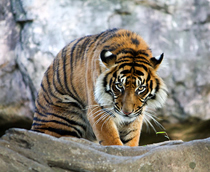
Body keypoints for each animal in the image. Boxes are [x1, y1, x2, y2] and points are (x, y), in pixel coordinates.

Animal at [30, 28, 167, 146]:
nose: (126, 112)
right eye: (119, 86)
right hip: (66, 114)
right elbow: (112, 141)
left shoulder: (136, 115)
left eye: (141, 88)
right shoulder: (99, 111)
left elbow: (131, 139)